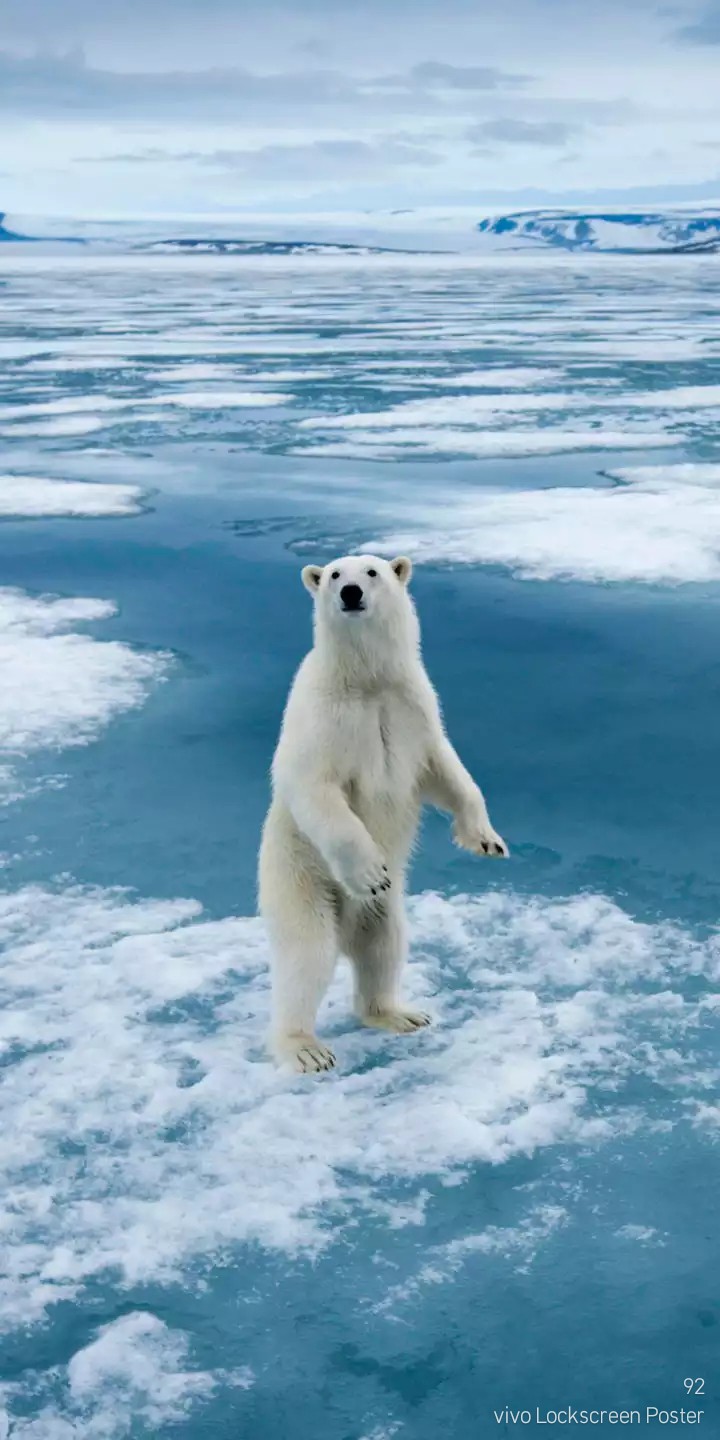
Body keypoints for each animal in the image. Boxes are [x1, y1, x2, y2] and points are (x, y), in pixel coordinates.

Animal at [258, 553, 508, 1073]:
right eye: (334, 574)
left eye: (372, 572)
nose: (350, 592)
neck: (365, 682)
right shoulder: (322, 719)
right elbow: (315, 788)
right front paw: (372, 871)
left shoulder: (412, 706)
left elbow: (445, 768)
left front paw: (486, 839)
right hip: (298, 877)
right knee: (307, 956)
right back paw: (305, 1047)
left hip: (384, 914)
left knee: (384, 947)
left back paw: (398, 1013)